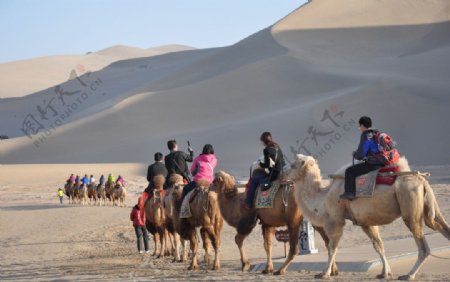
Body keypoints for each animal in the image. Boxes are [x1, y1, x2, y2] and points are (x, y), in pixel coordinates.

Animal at [288, 154, 450, 280]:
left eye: (292, 165)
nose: (283, 176)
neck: (323, 197)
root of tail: (422, 180)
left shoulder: (335, 219)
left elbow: (332, 248)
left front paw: (324, 273)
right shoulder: (365, 221)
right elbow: (379, 245)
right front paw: (385, 273)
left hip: (410, 204)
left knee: (423, 246)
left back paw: (408, 275)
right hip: (430, 207)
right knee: (443, 227)